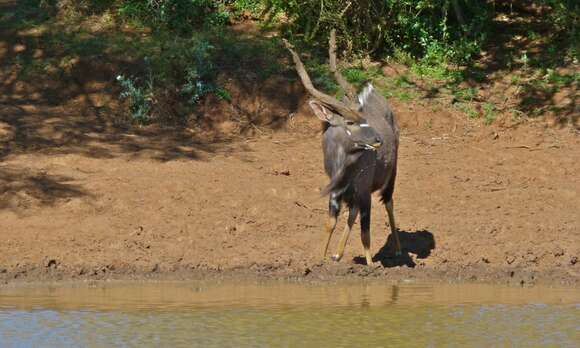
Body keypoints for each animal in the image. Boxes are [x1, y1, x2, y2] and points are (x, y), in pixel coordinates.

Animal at [284, 31, 402, 266]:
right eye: (350, 122)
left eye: (364, 118)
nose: (378, 140)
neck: (343, 164)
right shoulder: (337, 192)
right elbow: (331, 223)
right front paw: (322, 258)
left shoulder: (364, 190)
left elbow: (365, 232)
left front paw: (371, 265)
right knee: (353, 212)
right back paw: (337, 254)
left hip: (390, 174)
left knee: (388, 201)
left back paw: (398, 250)